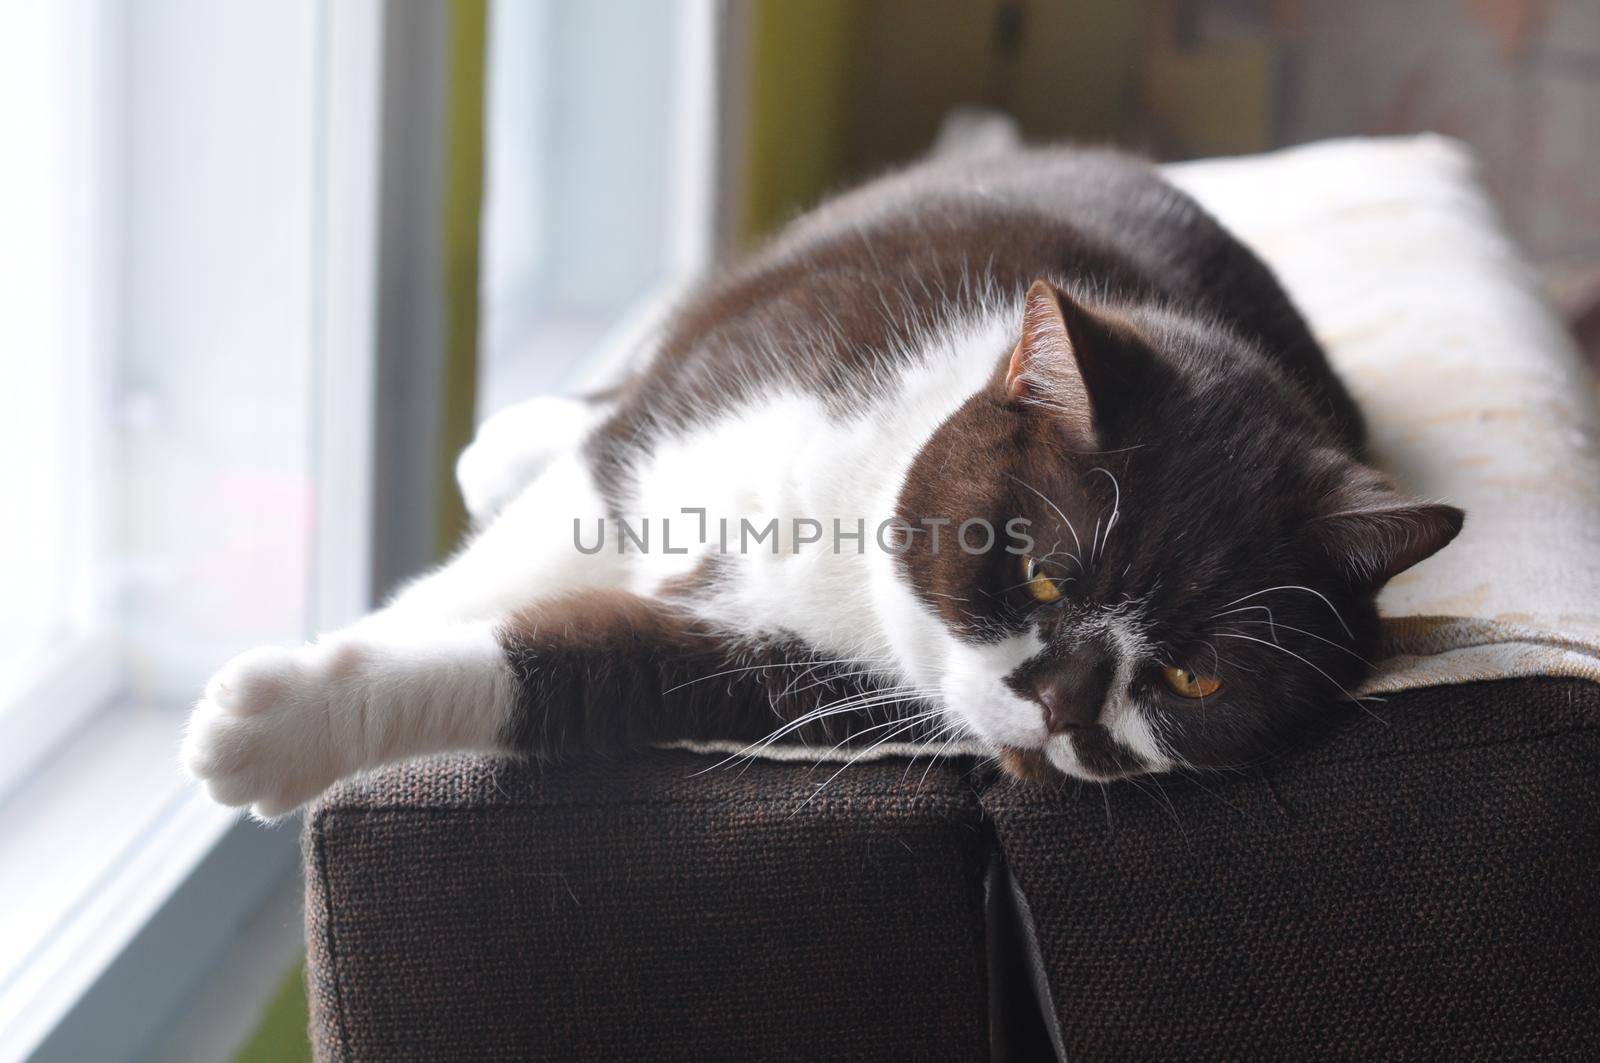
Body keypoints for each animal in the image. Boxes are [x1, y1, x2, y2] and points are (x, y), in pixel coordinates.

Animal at [184, 147, 1465, 813]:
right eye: (1042, 576)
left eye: (1199, 680)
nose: (1065, 708)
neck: (852, 507)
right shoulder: (719, 404)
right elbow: (515, 555)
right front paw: (293, 686)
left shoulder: (787, 678)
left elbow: (582, 665)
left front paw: (274, 728)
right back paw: (509, 438)